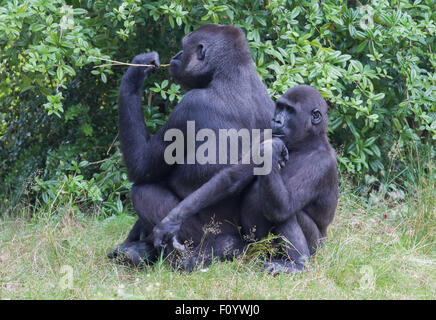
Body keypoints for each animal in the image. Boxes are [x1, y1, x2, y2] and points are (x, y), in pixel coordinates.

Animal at [155, 85, 338, 272]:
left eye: (290, 111)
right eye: (280, 107)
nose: (276, 120)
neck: (306, 143)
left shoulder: (321, 164)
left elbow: (283, 208)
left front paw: (271, 150)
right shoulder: (266, 135)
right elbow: (231, 179)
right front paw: (171, 221)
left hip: (315, 246)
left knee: (283, 211)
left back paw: (298, 264)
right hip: (260, 247)